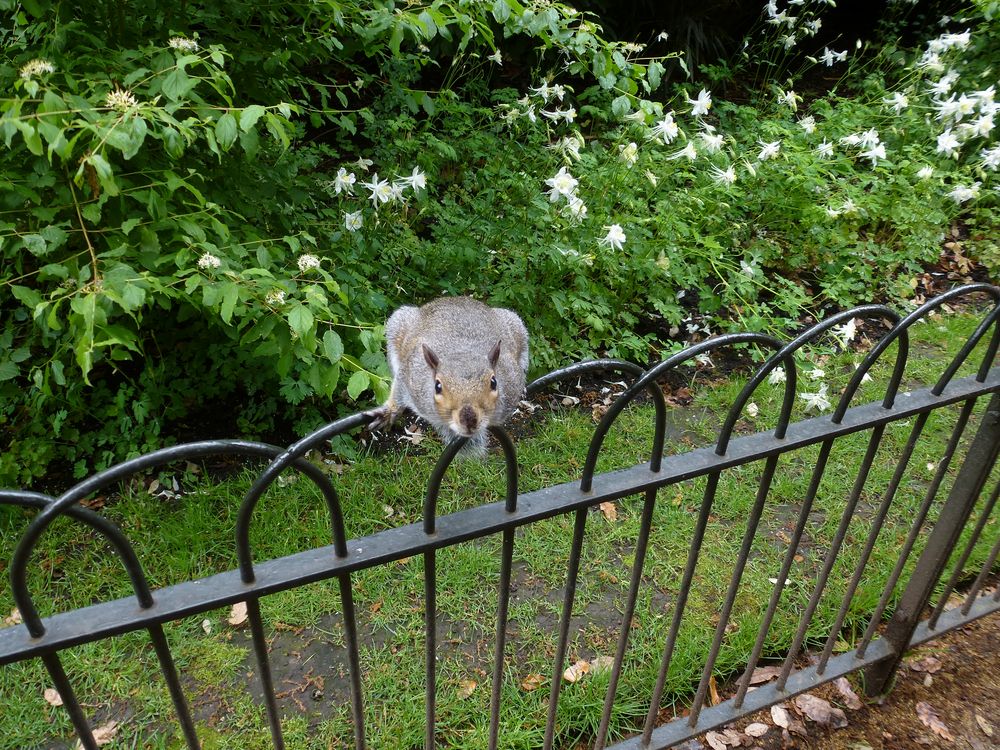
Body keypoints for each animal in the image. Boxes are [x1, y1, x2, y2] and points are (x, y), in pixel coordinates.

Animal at [370, 298, 532, 452]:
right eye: (437, 386)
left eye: (493, 382)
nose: (469, 419)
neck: (461, 352)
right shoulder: (411, 376)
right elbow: (398, 392)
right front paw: (388, 412)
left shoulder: (512, 379)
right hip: (397, 326)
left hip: (516, 327)